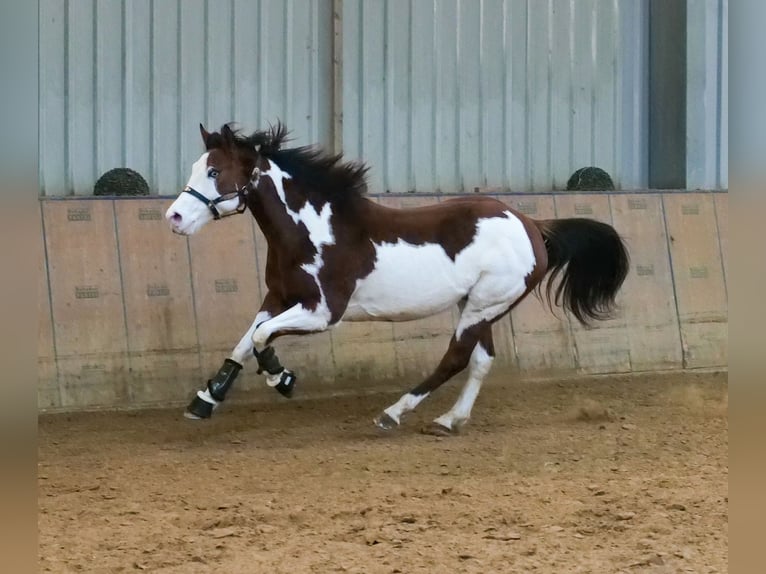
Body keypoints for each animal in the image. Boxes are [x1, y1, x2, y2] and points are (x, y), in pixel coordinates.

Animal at [168, 122, 632, 436]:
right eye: (195, 167)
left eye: (214, 172)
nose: (173, 217)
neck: (314, 229)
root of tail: (533, 226)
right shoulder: (279, 297)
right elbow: (246, 339)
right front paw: (206, 399)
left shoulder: (322, 312)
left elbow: (262, 338)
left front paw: (280, 378)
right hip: (479, 306)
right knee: (480, 360)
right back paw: (449, 420)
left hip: (486, 303)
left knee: (455, 358)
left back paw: (393, 413)